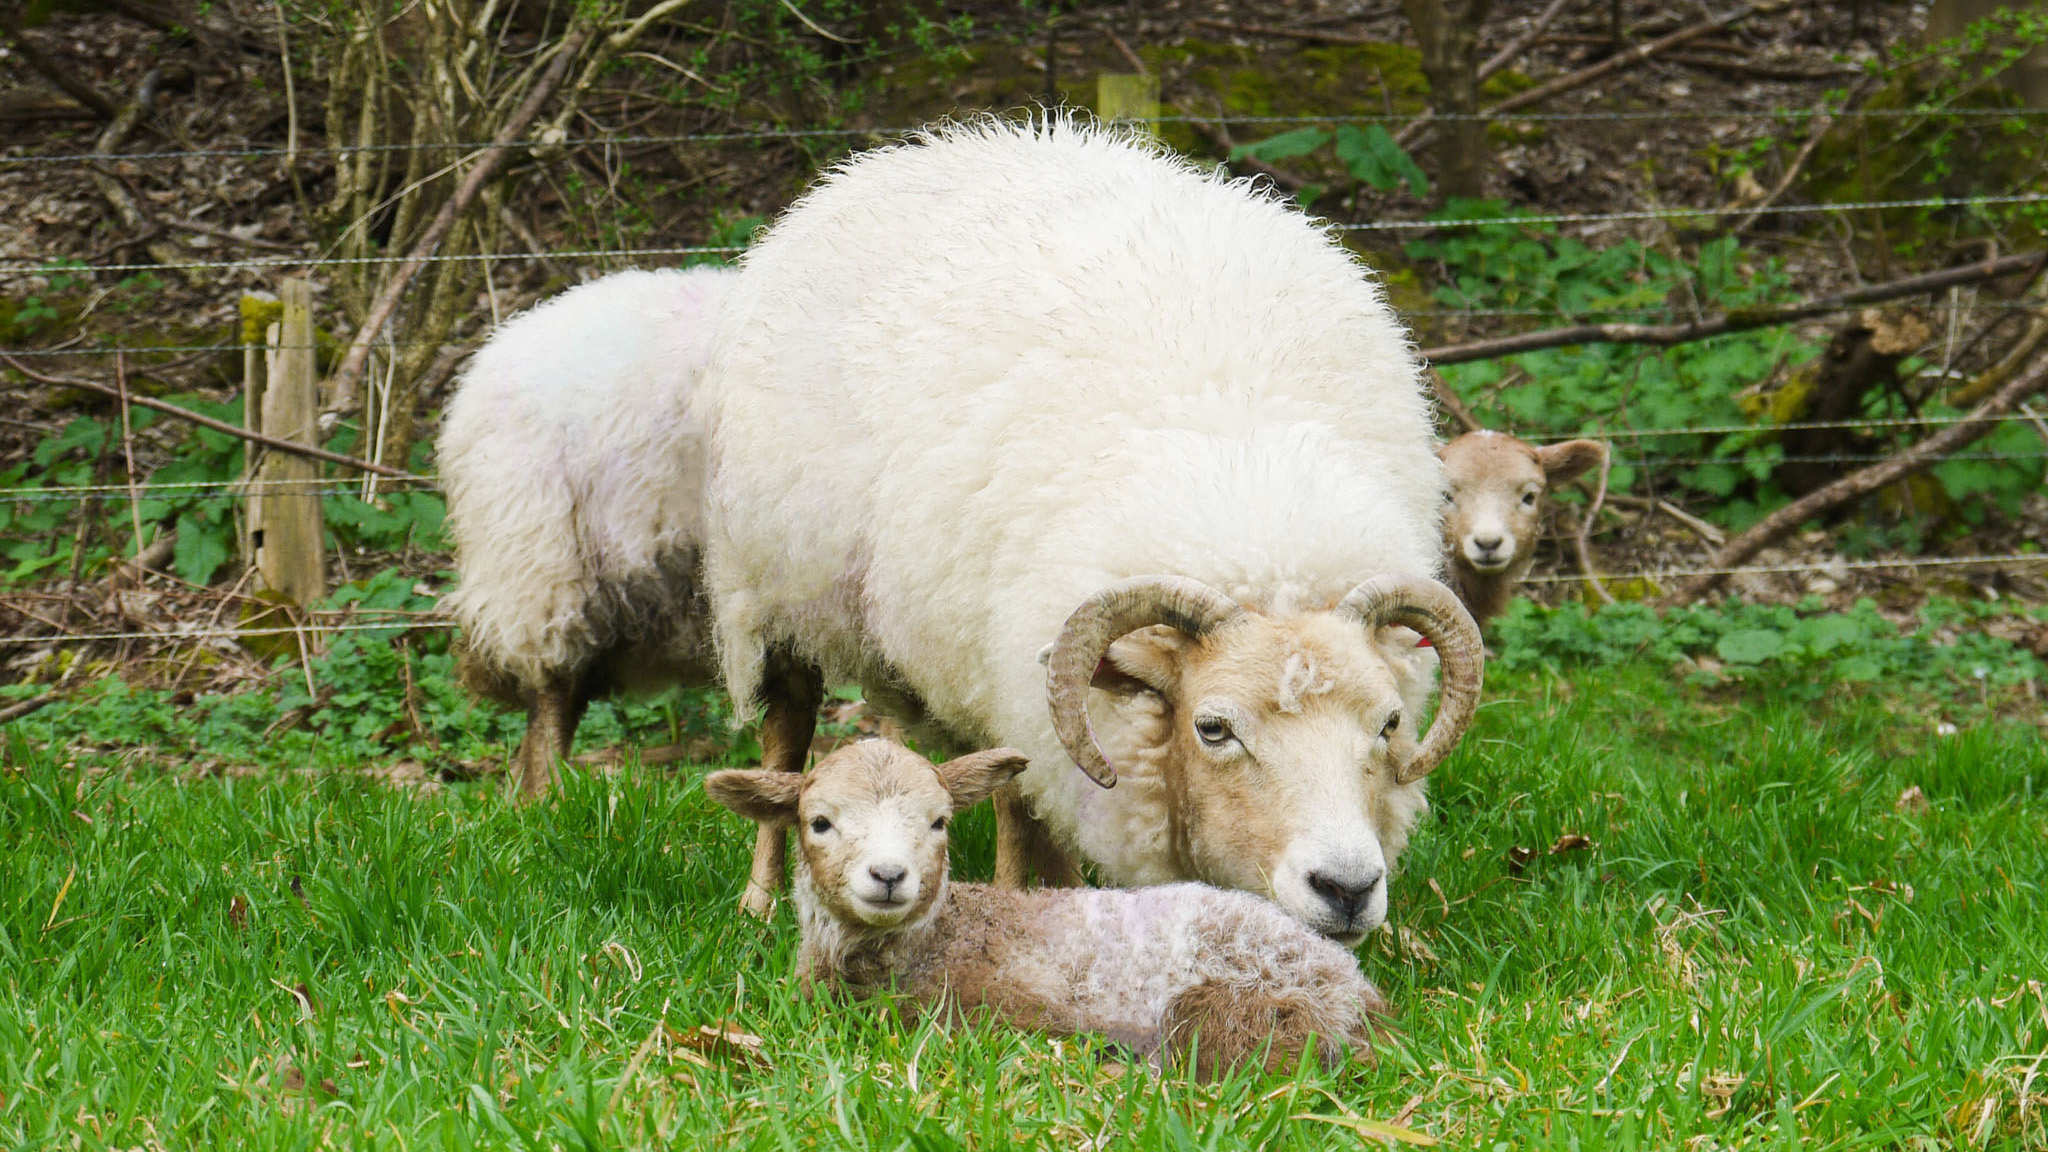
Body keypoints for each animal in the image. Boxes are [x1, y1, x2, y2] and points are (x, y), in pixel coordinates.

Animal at [704, 116, 1490, 938]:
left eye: (1389, 723)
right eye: (1213, 728)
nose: (1346, 886)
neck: (1246, 494)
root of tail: (931, 145)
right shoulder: (1014, 691)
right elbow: (1023, 812)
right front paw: (1029, 906)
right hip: (771, 586)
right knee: (788, 737)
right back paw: (761, 897)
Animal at [704, 733, 1392, 1074]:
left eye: (939, 822)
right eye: (818, 823)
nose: (889, 875)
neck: (938, 935)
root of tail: (1358, 991)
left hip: (1244, 1004)